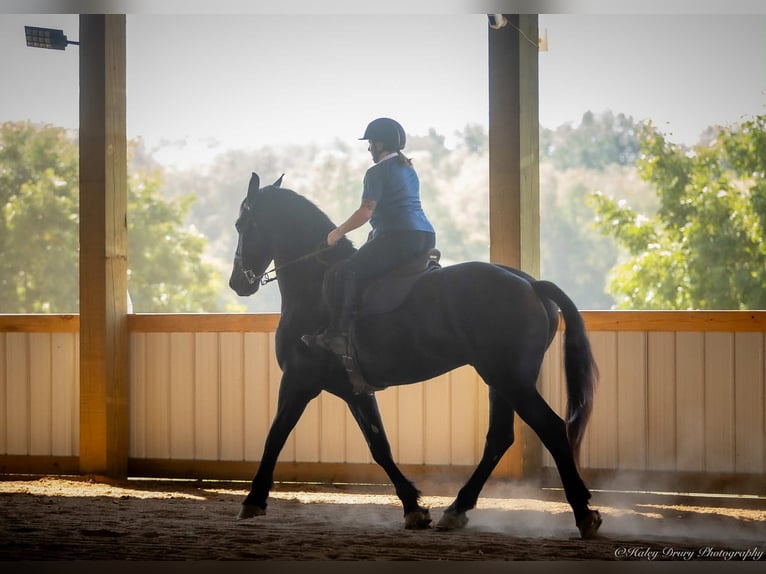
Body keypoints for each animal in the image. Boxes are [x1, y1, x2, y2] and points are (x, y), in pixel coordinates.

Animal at [228, 172, 602, 539]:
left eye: (241, 223)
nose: (237, 283)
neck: (313, 285)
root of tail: (530, 283)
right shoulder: (354, 391)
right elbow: (379, 446)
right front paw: (414, 507)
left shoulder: (298, 380)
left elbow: (275, 436)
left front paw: (253, 500)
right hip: (501, 380)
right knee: (499, 438)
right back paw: (457, 509)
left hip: (511, 380)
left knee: (551, 429)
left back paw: (583, 513)